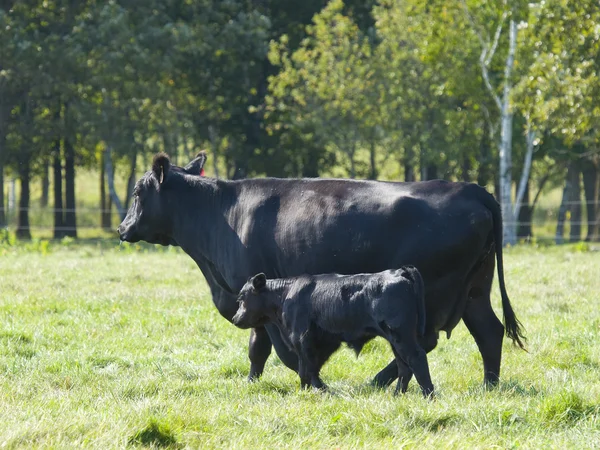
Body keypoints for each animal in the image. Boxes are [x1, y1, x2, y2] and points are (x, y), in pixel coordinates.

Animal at [232, 268, 434, 398]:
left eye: (242, 298)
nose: (235, 318)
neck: (286, 294)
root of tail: (399, 271)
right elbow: (310, 369)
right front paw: (313, 390)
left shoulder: (302, 339)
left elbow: (306, 370)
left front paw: (314, 391)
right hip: (396, 340)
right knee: (404, 366)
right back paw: (398, 395)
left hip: (402, 336)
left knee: (416, 358)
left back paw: (428, 395)